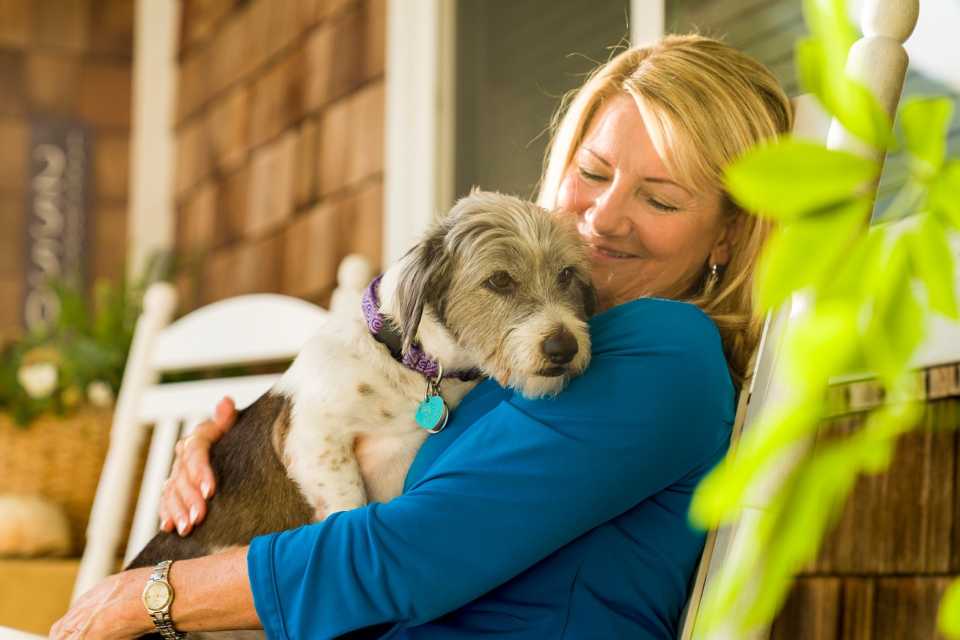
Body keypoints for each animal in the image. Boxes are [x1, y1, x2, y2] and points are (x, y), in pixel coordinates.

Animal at [126, 189, 592, 636]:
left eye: (566, 274)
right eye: (498, 280)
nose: (564, 347)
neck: (414, 368)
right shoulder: (311, 438)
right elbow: (348, 503)